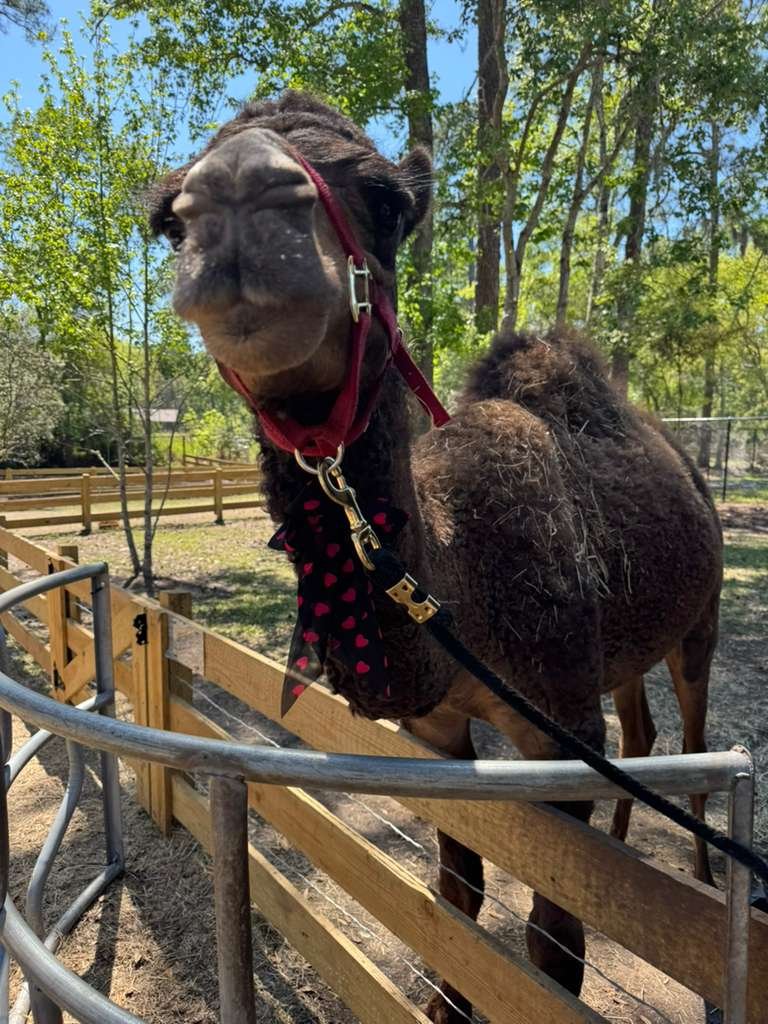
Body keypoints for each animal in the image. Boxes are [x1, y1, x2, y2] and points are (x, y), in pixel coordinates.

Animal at [149, 92, 723, 1023]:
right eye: (168, 220)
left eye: (388, 202)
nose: (237, 192)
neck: (462, 593)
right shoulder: (438, 727)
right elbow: (456, 897)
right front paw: (447, 999)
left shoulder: (559, 729)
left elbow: (550, 953)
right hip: (626, 645)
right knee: (640, 732)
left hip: (699, 619)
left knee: (698, 747)